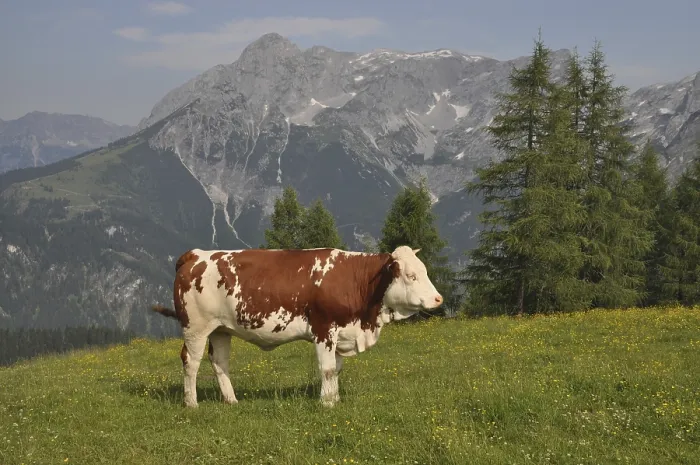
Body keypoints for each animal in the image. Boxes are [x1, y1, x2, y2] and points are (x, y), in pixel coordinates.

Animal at [151, 245, 443, 408]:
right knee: (191, 361)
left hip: (221, 329)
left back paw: (231, 400)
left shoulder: (341, 333)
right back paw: (191, 403)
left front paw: (334, 399)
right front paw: (327, 404)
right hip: (196, 327)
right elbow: (327, 370)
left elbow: (336, 370)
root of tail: (196, 255)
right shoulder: (324, 329)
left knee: (219, 361)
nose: (438, 299)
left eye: (425, 271)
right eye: (411, 275)